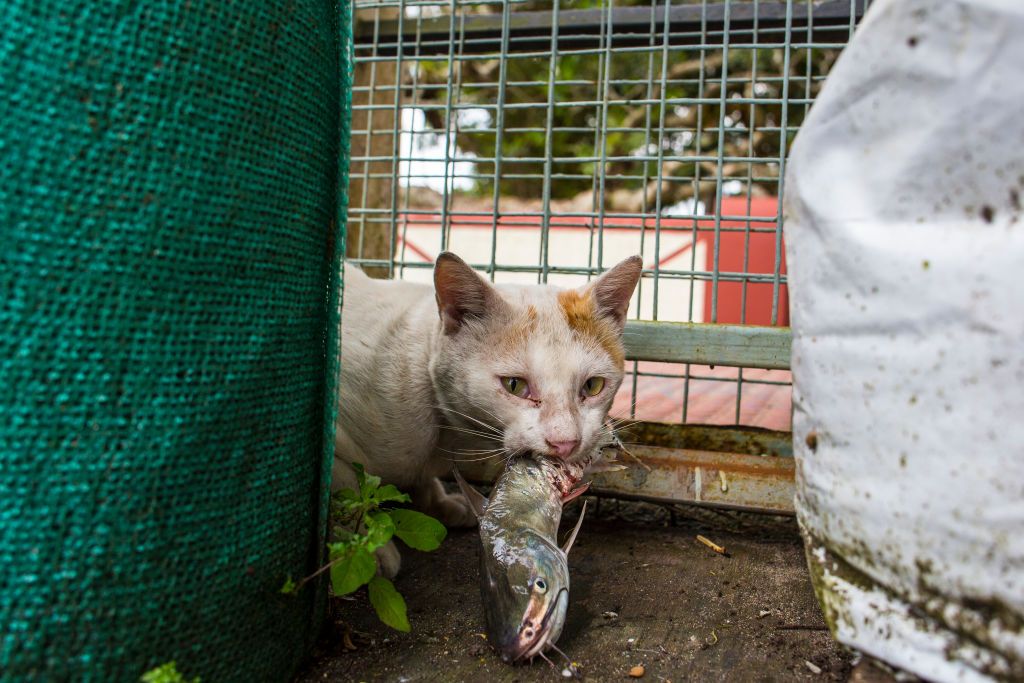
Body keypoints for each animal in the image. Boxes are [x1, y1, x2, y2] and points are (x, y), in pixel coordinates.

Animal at [333, 252, 638, 577]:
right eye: (514, 385)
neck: (445, 434)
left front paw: (436, 503)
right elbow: (347, 489)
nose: (565, 443)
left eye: (593, 386)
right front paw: (366, 548)